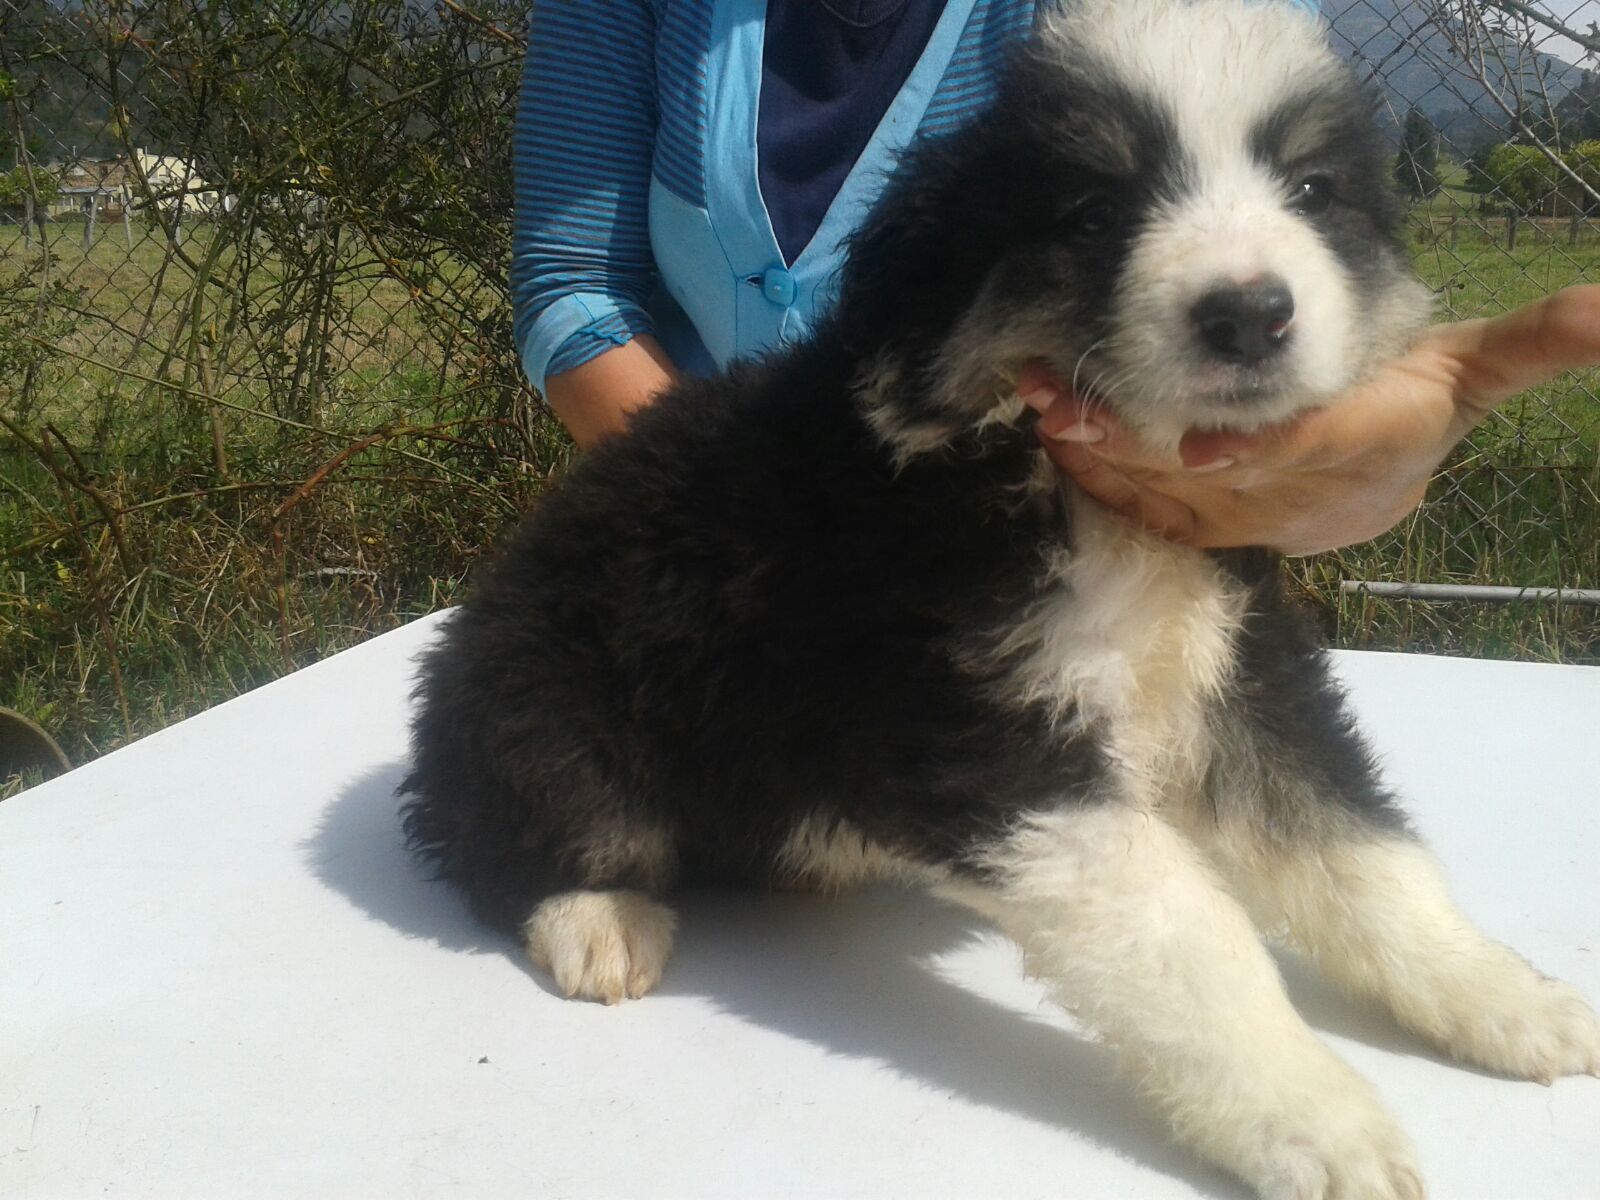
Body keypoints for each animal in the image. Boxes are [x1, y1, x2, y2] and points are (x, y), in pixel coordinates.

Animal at [403, 4, 1600, 1196]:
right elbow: (1183, 932)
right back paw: (598, 921)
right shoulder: (978, 722)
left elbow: (1356, 849)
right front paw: (1320, 1121)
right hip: (538, 693)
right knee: (510, 824)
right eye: (1092, 212)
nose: (1251, 315)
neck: (1080, 491)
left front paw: (1505, 996)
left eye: (1310, 190)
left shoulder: (1244, 667)